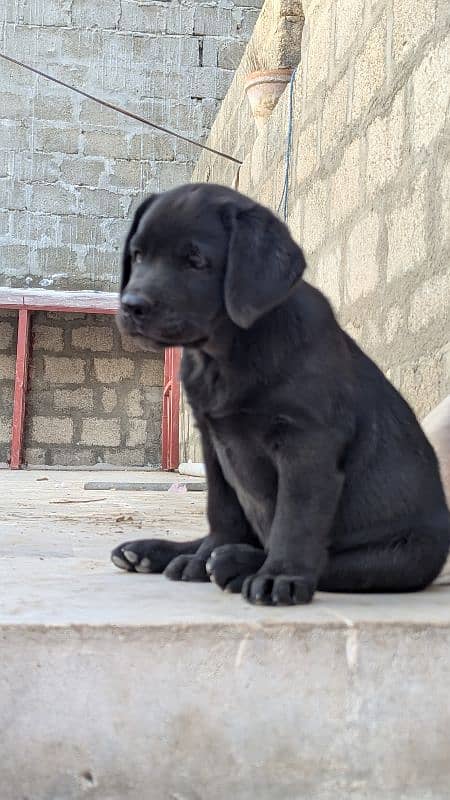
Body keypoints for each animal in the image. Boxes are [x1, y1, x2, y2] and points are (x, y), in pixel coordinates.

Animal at [110, 183, 448, 608]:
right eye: (138, 255)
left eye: (196, 261)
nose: (131, 305)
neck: (228, 352)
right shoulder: (213, 442)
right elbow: (221, 508)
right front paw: (201, 559)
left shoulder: (306, 445)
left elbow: (295, 518)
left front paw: (279, 577)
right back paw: (159, 552)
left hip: (405, 553)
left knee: (336, 562)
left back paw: (238, 563)